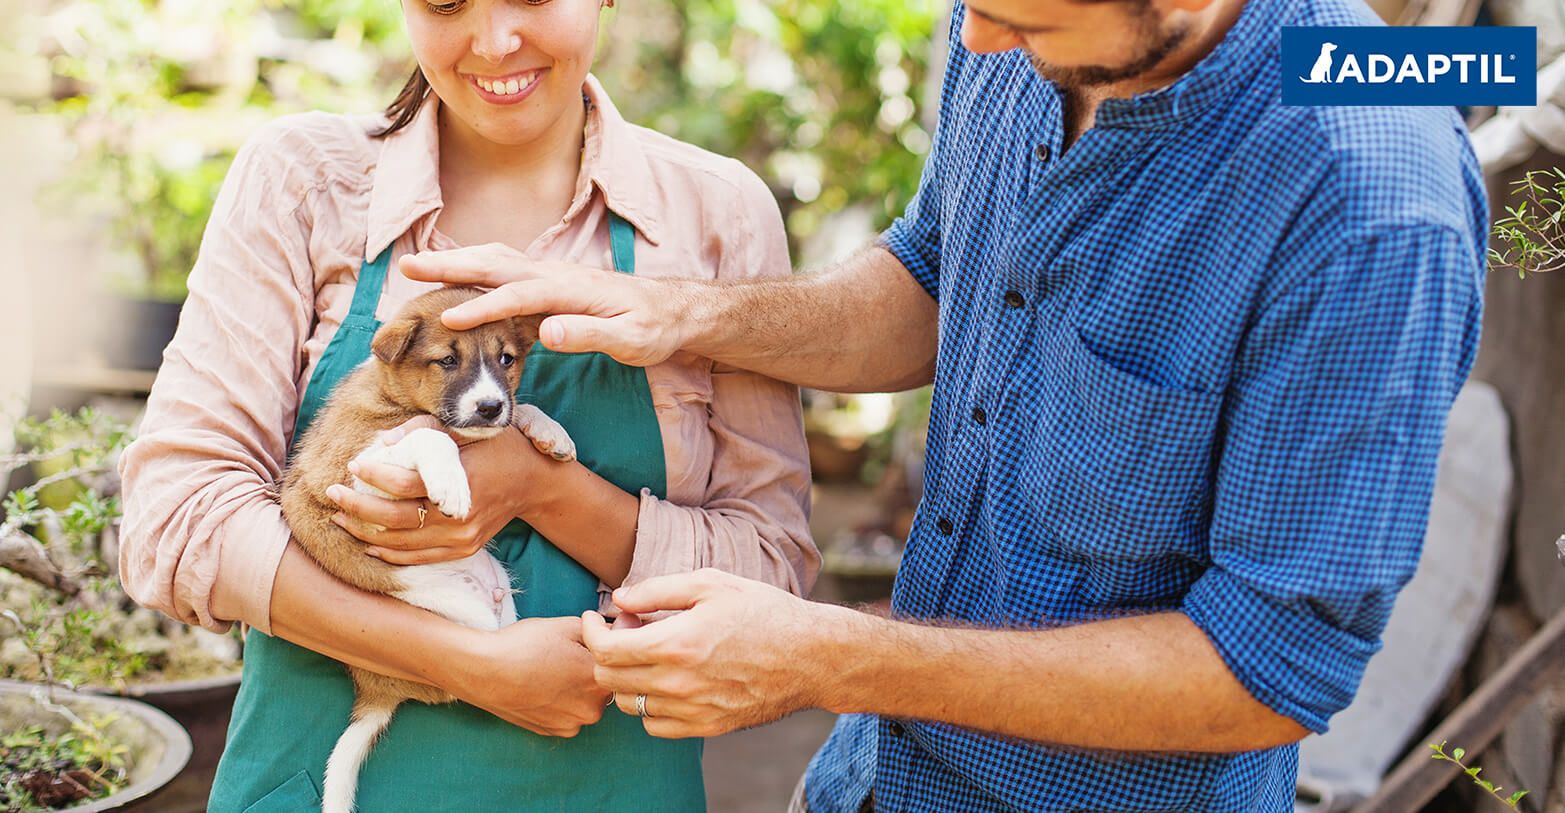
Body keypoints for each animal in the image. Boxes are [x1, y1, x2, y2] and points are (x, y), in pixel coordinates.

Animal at [278, 286, 579, 813]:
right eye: (447, 360)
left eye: (506, 359)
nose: (489, 406)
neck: (391, 397)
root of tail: (377, 690)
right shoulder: (353, 472)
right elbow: (429, 434)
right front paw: (451, 482)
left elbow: (513, 413)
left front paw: (549, 431)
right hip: (469, 625)